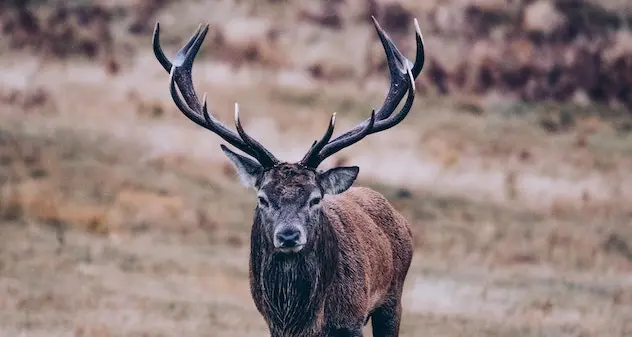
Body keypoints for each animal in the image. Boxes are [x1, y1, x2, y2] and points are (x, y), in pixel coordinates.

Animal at [151, 15, 422, 336]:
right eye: (262, 198)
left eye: (315, 199)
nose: (289, 235)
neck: (302, 318)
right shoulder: (273, 324)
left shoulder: (351, 319)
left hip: (393, 298)